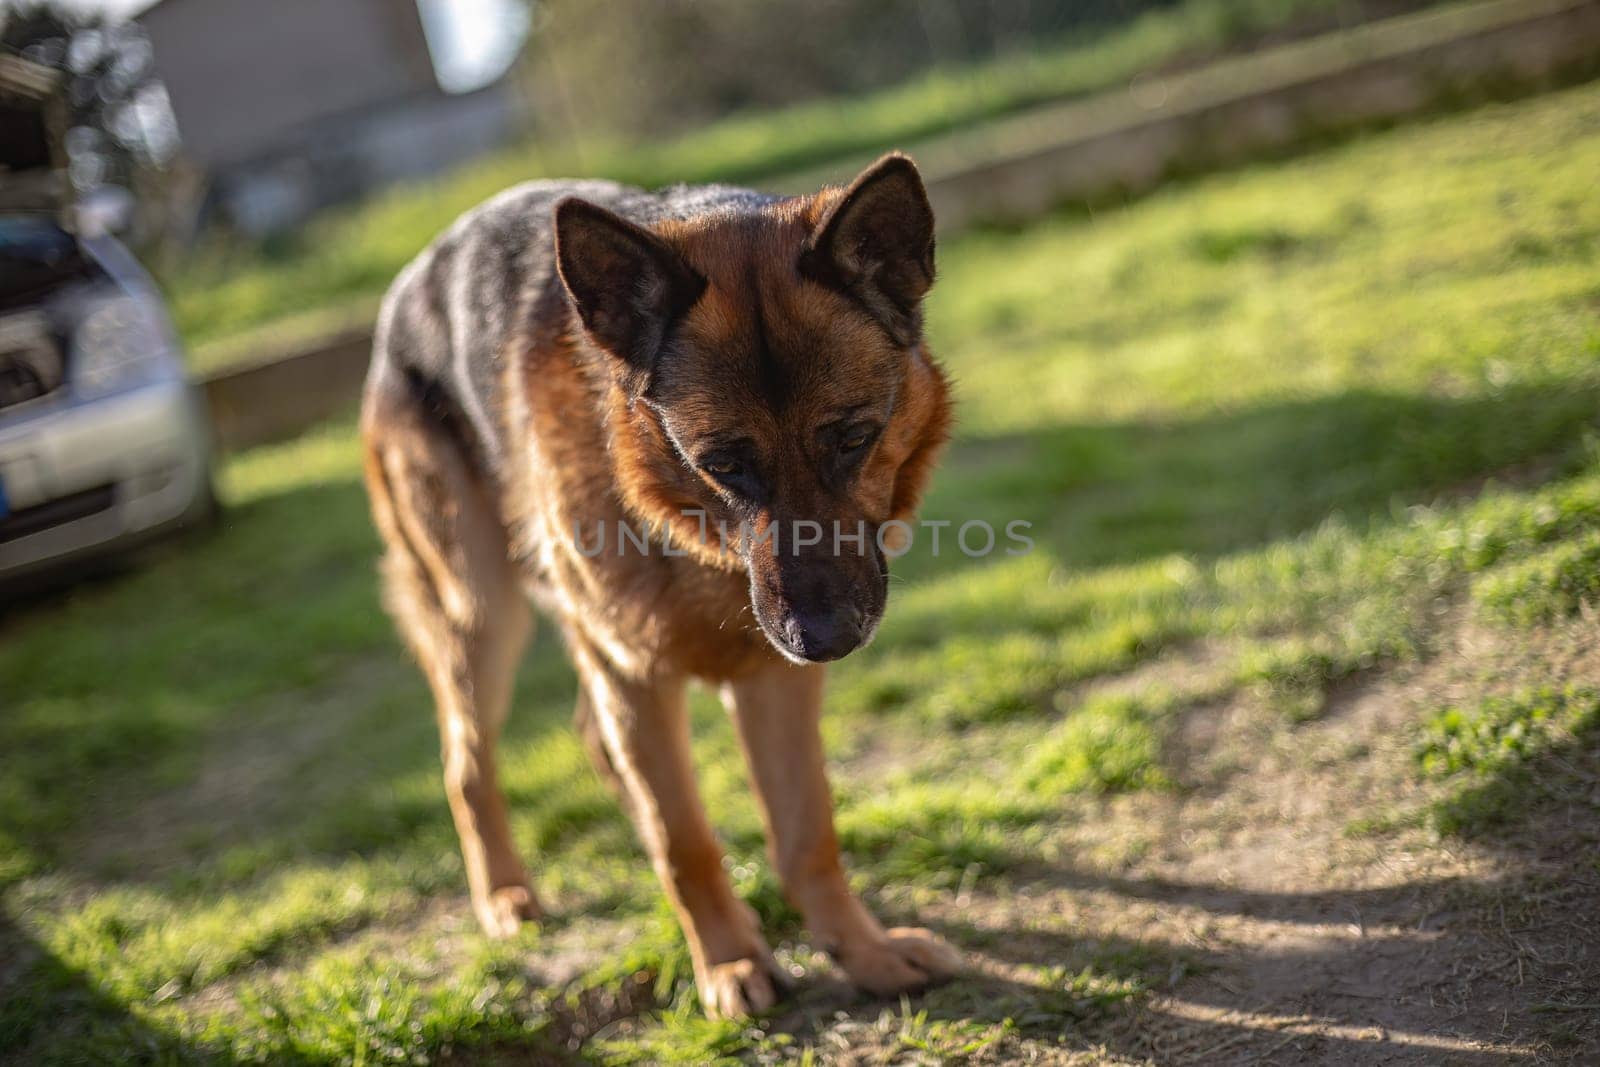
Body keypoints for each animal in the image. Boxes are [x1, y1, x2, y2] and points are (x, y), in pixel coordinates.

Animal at [363, 151, 953, 1017]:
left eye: (853, 438)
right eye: (724, 464)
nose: (826, 640)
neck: (692, 535)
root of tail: (406, 285)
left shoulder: (769, 678)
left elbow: (806, 829)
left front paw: (864, 951)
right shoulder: (635, 670)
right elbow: (685, 843)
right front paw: (731, 963)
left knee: (595, 745)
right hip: (482, 613)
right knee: (467, 765)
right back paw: (504, 896)